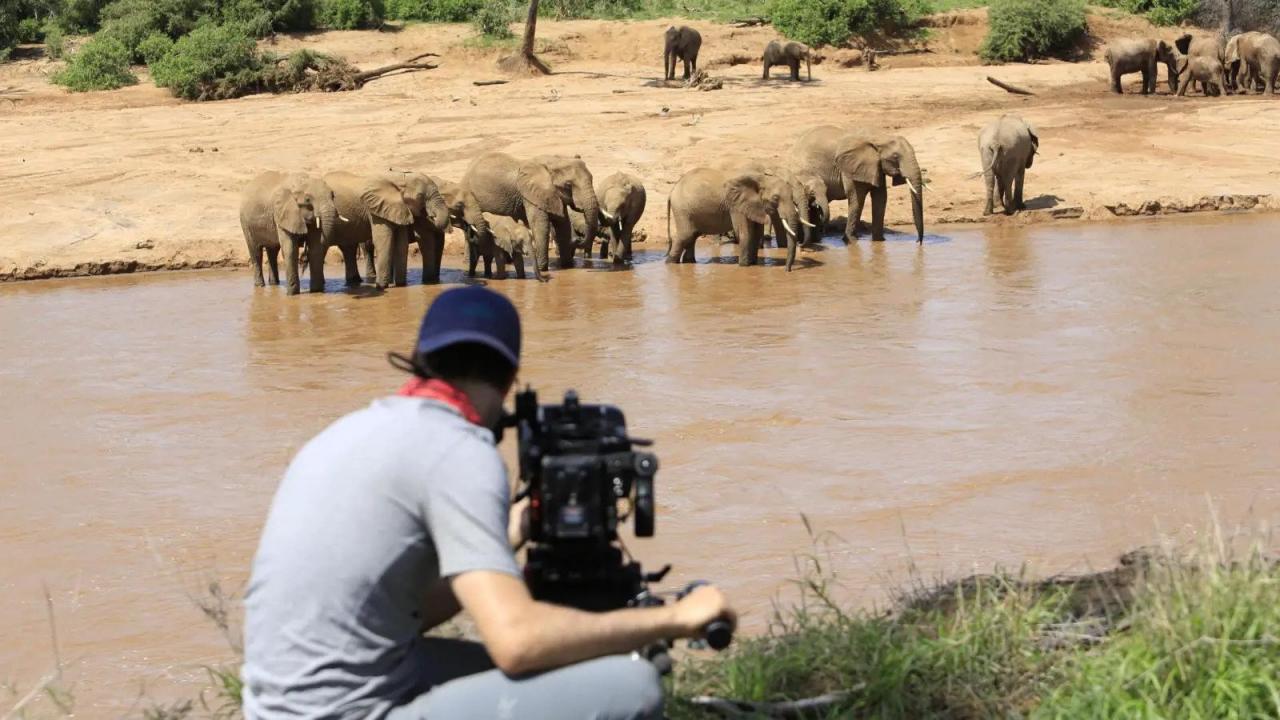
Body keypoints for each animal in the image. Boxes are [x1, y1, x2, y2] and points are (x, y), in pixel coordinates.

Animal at [665, 163, 803, 267]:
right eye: (775, 198)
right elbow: (744, 233)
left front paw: (753, 264)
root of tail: (672, 190)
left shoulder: (753, 205)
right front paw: (744, 266)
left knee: (692, 236)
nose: (787, 270)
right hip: (682, 209)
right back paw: (670, 263)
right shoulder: (736, 205)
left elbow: (756, 233)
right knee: (685, 236)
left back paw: (689, 262)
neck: (762, 178)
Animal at [783, 126, 926, 243]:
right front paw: (851, 241)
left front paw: (879, 241)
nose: (918, 242)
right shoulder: (850, 168)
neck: (879, 137)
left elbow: (880, 199)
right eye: (895, 156)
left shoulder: (876, 167)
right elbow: (858, 199)